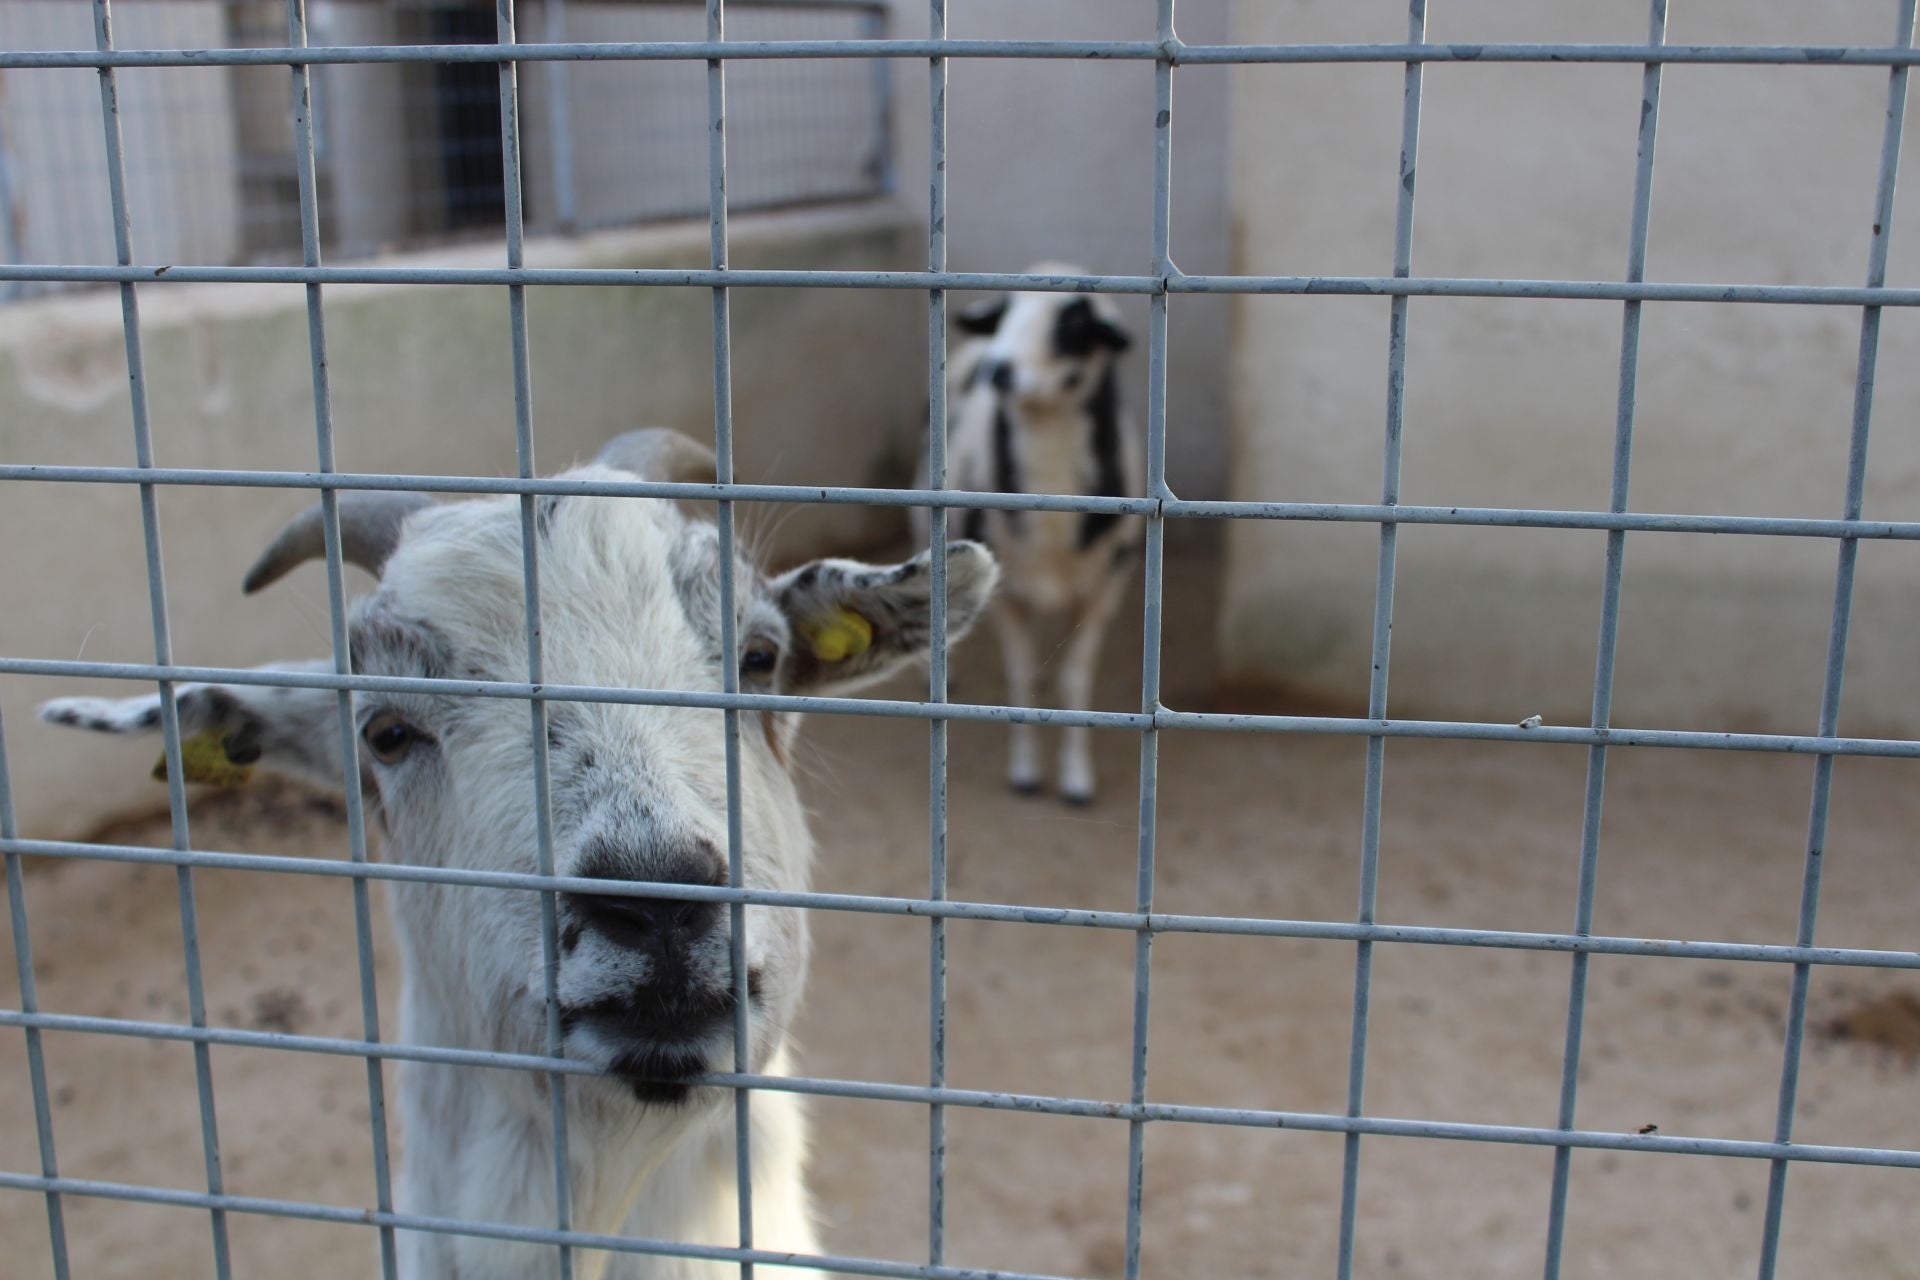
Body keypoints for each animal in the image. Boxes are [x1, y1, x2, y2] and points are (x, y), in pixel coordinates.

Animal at [925, 266, 1144, 805]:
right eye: (1004, 315)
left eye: (1074, 324)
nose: (999, 370)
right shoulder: (1007, 593)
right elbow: (1019, 679)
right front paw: (1024, 772)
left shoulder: (1103, 590)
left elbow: (1074, 682)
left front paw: (1076, 778)